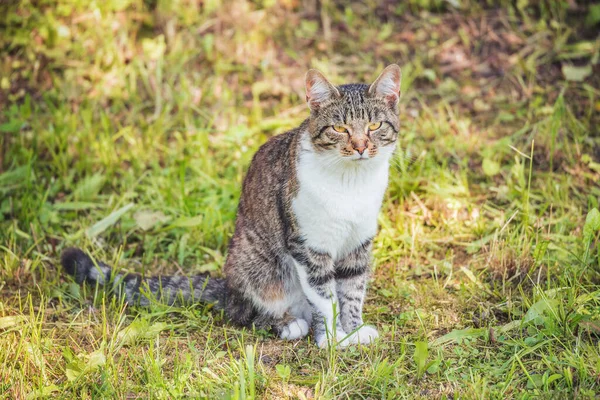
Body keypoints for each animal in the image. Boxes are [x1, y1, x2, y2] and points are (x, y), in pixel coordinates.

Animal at [61, 65, 400, 346]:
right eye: (340, 129)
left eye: (374, 126)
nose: (360, 146)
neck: (351, 183)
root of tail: (226, 286)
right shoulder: (309, 245)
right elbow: (324, 297)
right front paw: (331, 339)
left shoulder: (358, 243)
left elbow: (352, 291)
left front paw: (353, 330)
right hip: (254, 263)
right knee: (242, 313)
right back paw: (286, 323)